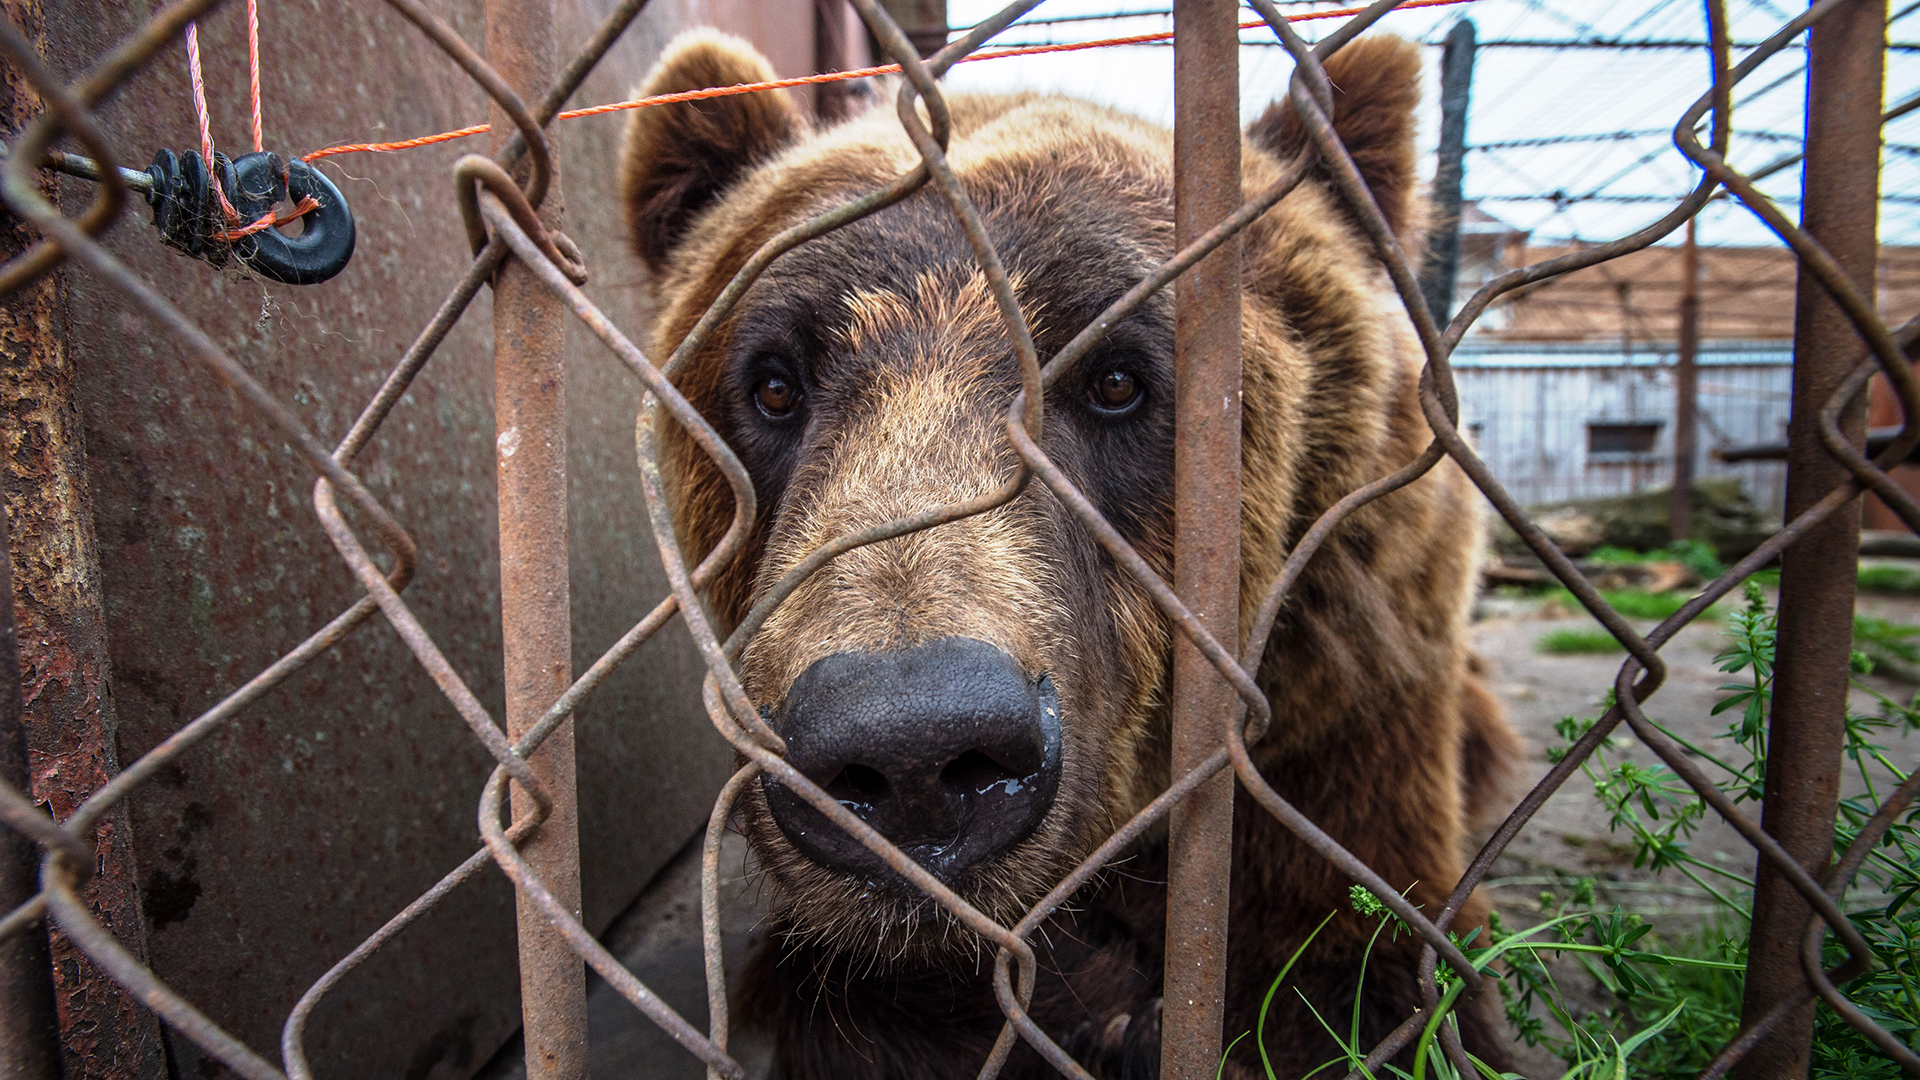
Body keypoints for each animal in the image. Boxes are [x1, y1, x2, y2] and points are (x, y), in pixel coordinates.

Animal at [622, 27, 1520, 1076]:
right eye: (772, 383)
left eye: (1119, 379)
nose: (911, 752)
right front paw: (1083, 1002)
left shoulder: (1346, 684)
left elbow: (1353, 967)